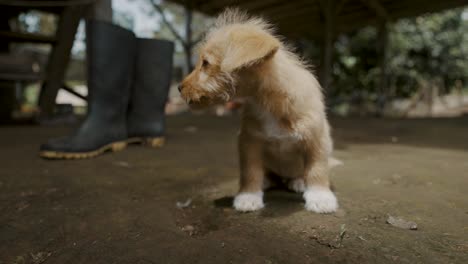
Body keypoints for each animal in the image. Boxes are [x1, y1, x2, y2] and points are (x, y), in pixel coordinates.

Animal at [181, 9, 338, 213]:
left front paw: (321, 197)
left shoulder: (316, 139)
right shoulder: (249, 141)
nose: (179, 88)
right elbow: (251, 171)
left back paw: (298, 181)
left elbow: (317, 169)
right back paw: (267, 181)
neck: (268, 103)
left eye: (206, 63)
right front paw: (248, 195)